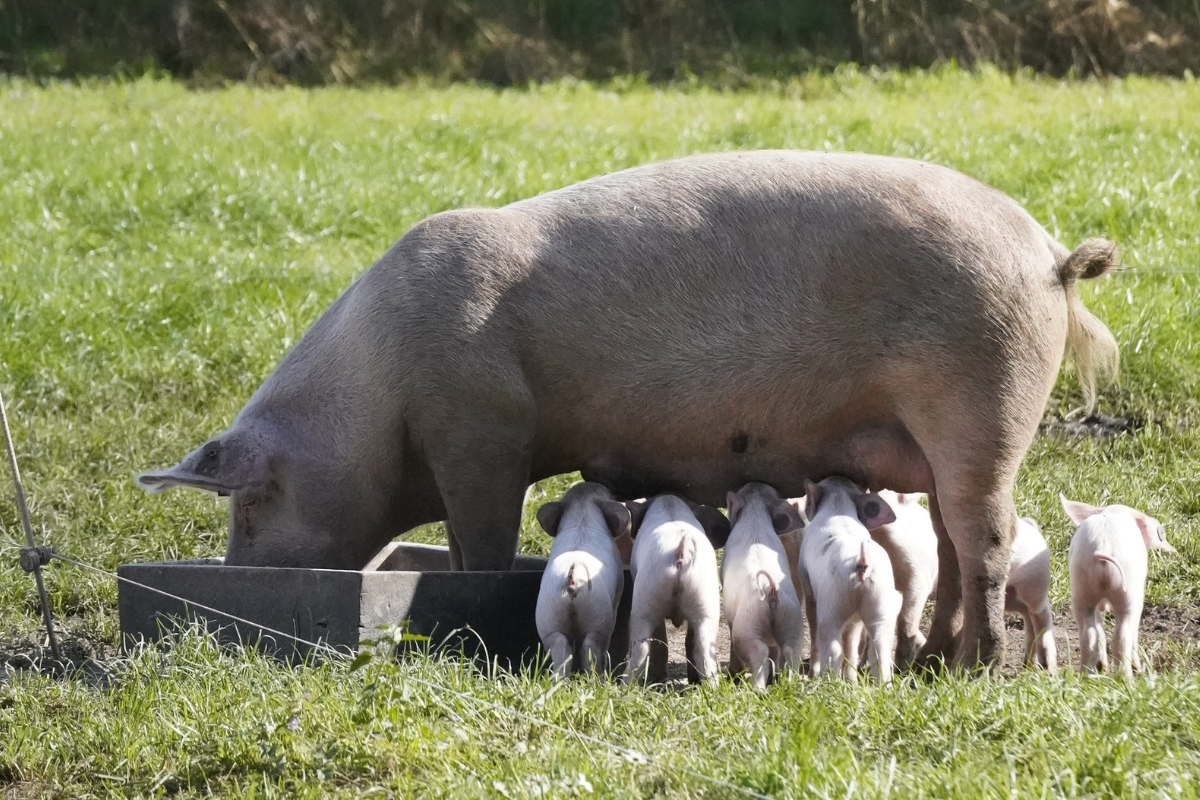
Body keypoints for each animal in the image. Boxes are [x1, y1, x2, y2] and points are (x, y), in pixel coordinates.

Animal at [136, 148, 1118, 671]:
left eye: (252, 503)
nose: (234, 572)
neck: (379, 386)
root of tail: (1049, 255)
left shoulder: (479, 424)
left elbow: (481, 539)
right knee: (951, 538)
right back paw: (932, 657)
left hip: (982, 400)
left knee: (982, 535)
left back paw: (970, 665)